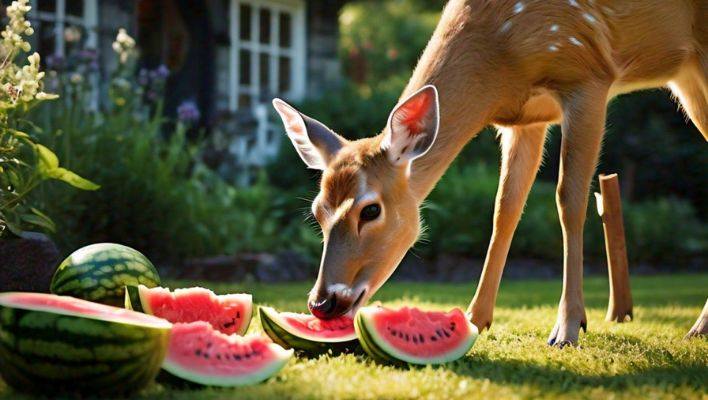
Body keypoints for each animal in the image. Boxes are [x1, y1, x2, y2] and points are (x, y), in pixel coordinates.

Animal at [272, 0, 708, 346]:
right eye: (318, 212)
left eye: (370, 210)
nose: (322, 302)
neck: (501, 61)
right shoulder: (525, 121)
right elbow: (505, 209)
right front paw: (474, 318)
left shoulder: (587, 75)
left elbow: (568, 200)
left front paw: (567, 328)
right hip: (686, 74)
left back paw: (696, 327)